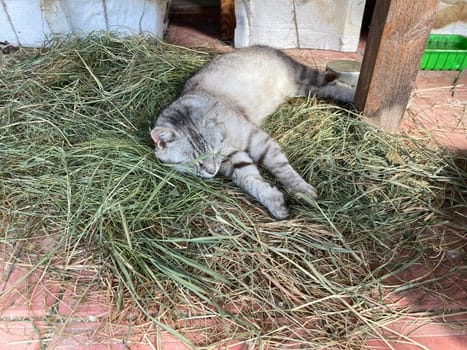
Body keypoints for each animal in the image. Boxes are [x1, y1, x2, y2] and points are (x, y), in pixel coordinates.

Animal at [151, 45, 354, 217]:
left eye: (214, 152)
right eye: (196, 162)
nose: (211, 171)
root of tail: (259, 45)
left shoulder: (258, 140)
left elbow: (282, 168)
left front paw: (300, 189)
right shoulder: (234, 160)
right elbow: (250, 180)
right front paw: (274, 201)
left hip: (301, 73)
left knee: (330, 81)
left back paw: (351, 94)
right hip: (299, 89)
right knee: (323, 88)